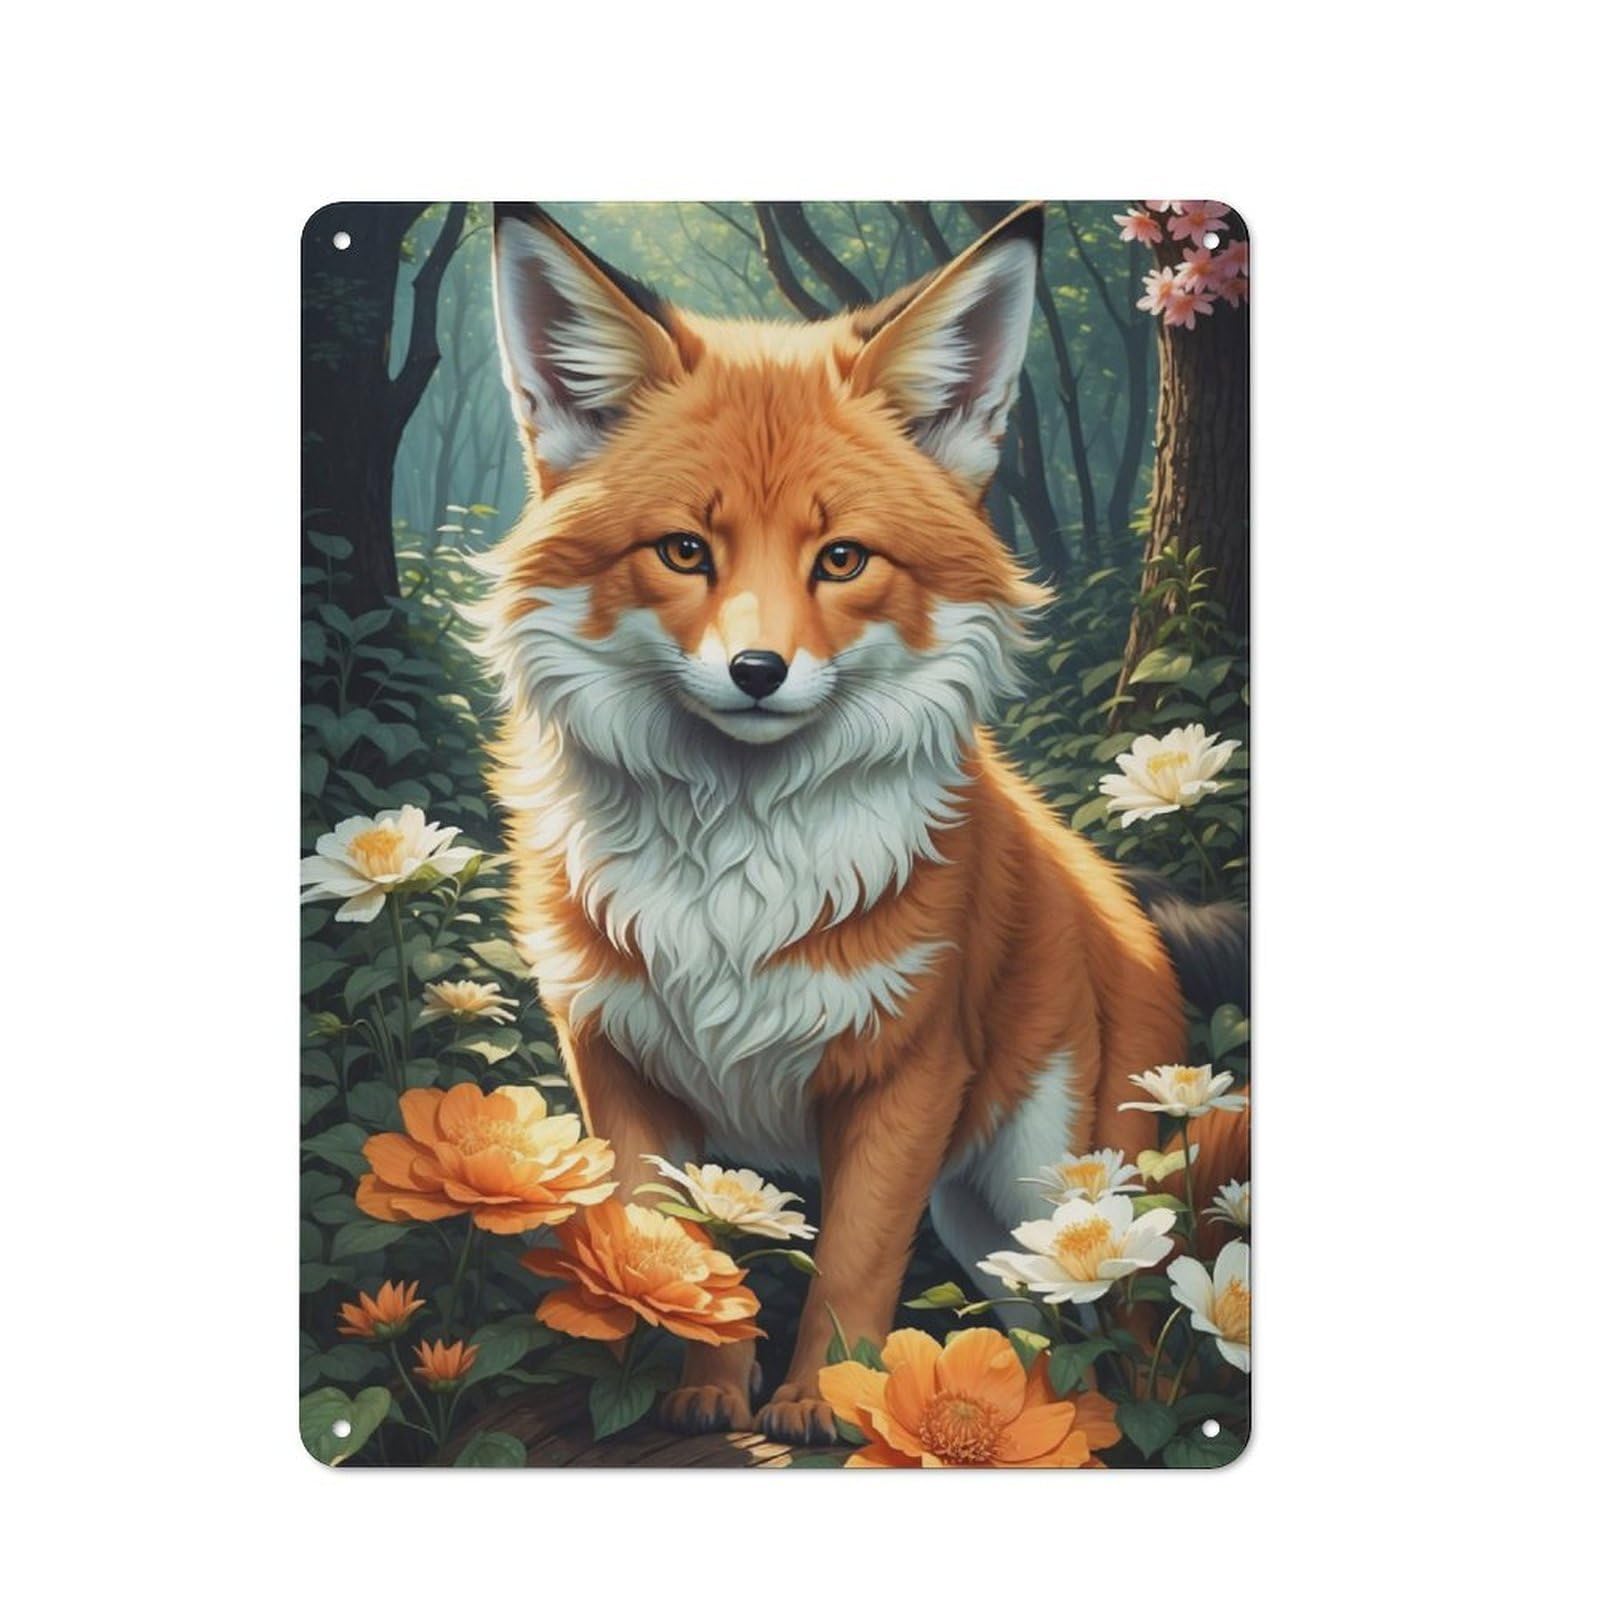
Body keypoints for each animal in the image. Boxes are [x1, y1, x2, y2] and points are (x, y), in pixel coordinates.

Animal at [476, 201, 1246, 1444]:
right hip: (998, 1229)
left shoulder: (907, 1072)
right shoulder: (617, 1060)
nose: (756, 671)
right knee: (1041, 1324)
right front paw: (707, 1395)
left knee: (1132, 1327)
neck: (735, 872)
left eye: (840, 559)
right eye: (685, 550)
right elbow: (677, 1252)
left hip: (1057, 1186)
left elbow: (853, 1259)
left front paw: (822, 1402)